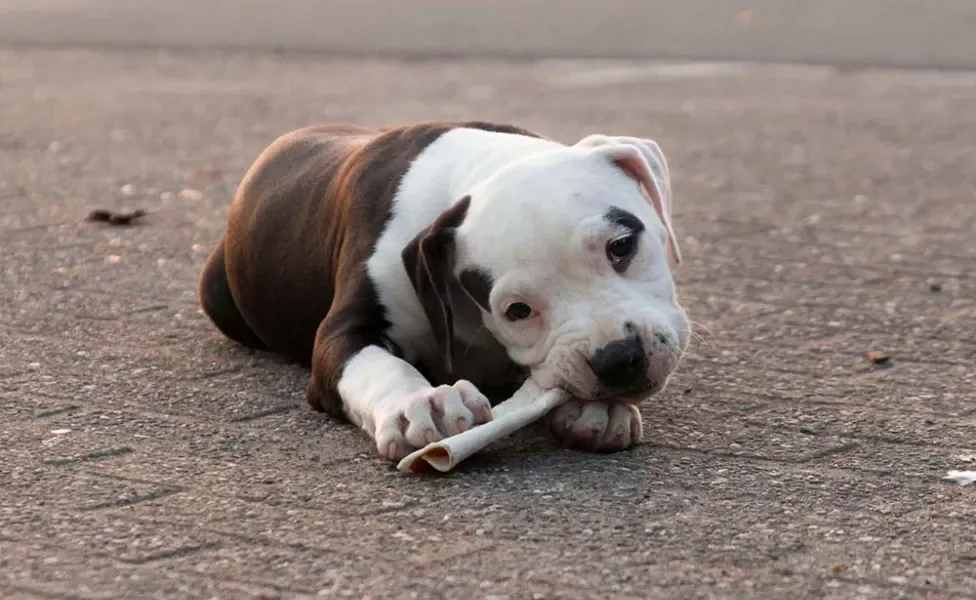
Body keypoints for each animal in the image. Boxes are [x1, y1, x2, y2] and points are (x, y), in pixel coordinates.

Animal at [196, 120, 688, 460]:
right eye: (517, 310)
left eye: (621, 246)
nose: (618, 359)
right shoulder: (344, 331)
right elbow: (379, 366)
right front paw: (421, 402)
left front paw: (596, 410)